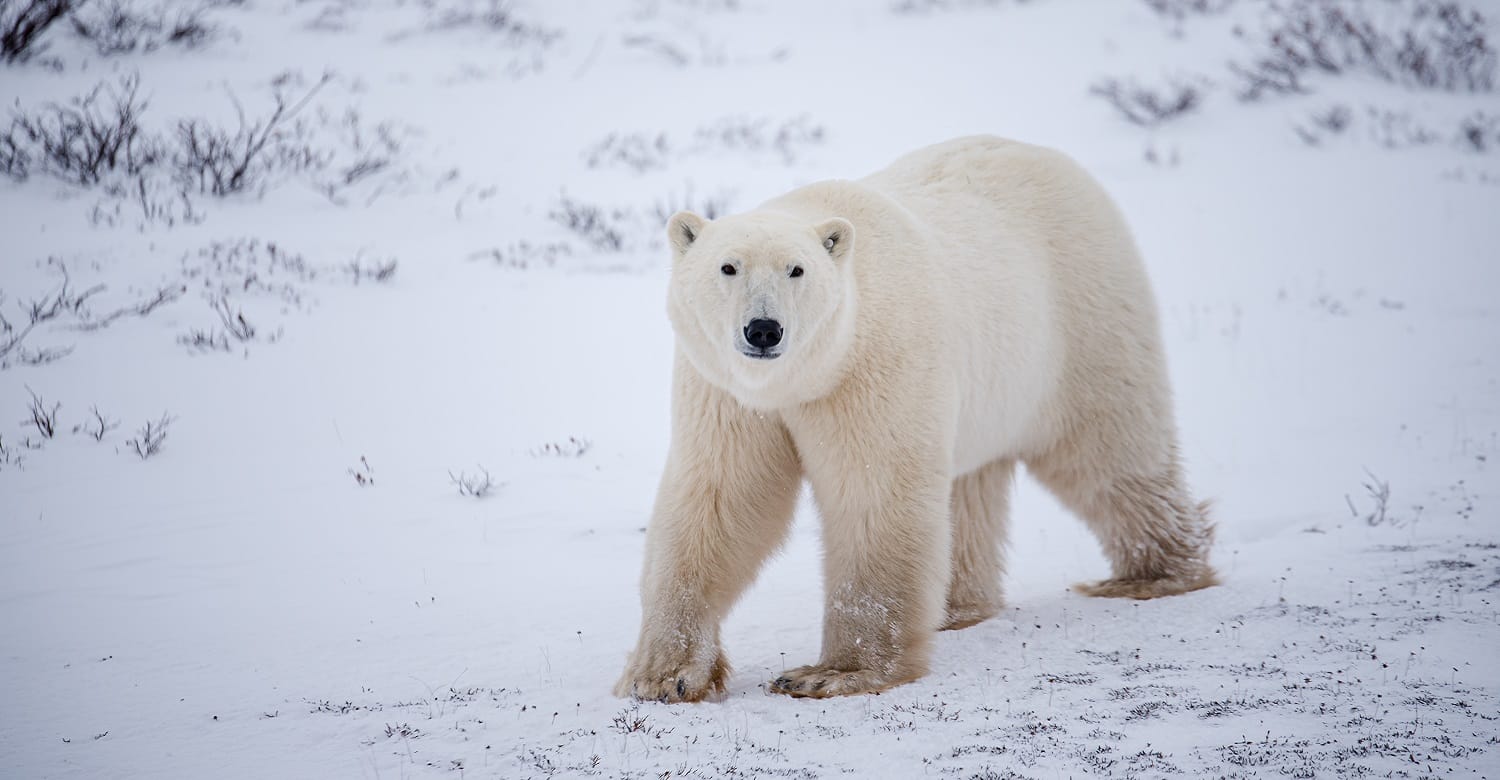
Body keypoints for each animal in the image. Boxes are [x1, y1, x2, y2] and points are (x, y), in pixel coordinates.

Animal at [614, 135, 1217, 702]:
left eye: (796, 270)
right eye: (728, 266)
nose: (763, 330)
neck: (807, 377)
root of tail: (1058, 163)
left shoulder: (874, 364)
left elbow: (874, 496)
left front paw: (832, 673)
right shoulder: (727, 392)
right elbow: (720, 498)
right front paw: (664, 676)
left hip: (1080, 319)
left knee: (1109, 447)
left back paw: (1154, 574)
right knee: (969, 487)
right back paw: (957, 606)